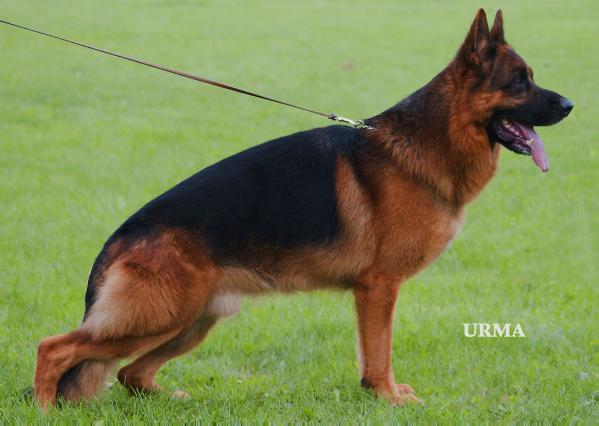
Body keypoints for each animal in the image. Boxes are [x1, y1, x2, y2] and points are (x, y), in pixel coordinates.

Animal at [33, 9, 573, 409]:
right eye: (519, 82)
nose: (570, 105)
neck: (425, 143)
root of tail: (121, 236)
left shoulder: (374, 291)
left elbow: (373, 354)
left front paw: (378, 394)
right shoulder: (378, 288)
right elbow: (380, 352)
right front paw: (388, 397)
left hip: (192, 320)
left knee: (129, 373)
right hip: (157, 316)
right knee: (53, 349)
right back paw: (43, 409)